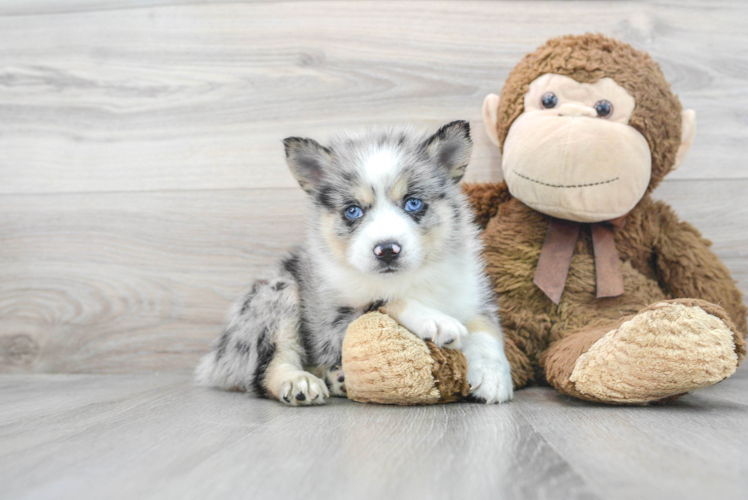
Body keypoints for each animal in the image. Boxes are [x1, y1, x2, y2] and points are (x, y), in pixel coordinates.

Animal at [194, 121, 516, 406]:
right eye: (353, 210)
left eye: (413, 202)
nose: (387, 250)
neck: (409, 277)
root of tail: (215, 360)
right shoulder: (330, 325)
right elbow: (386, 299)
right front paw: (435, 320)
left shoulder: (472, 295)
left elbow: (486, 330)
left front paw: (492, 376)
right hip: (276, 296)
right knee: (266, 370)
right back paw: (299, 382)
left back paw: (338, 379)